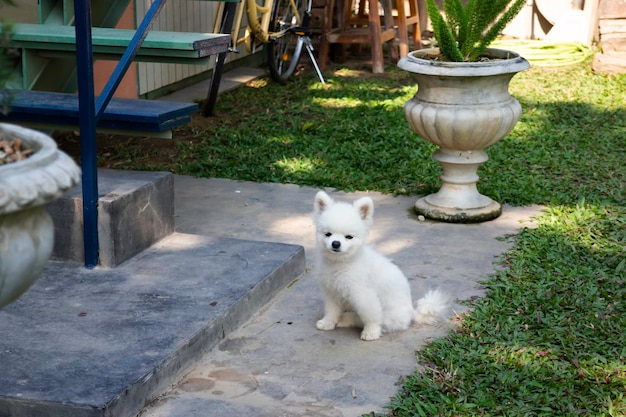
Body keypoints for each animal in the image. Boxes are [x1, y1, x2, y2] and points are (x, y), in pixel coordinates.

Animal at [312, 190, 448, 340]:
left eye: (349, 237)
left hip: (388, 316)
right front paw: (327, 323)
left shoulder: (363, 295)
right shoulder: (331, 291)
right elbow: (331, 310)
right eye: (328, 234)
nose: (336, 243)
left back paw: (346, 319)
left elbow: (371, 316)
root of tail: (411, 312)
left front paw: (371, 331)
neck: (341, 263)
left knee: (361, 319)